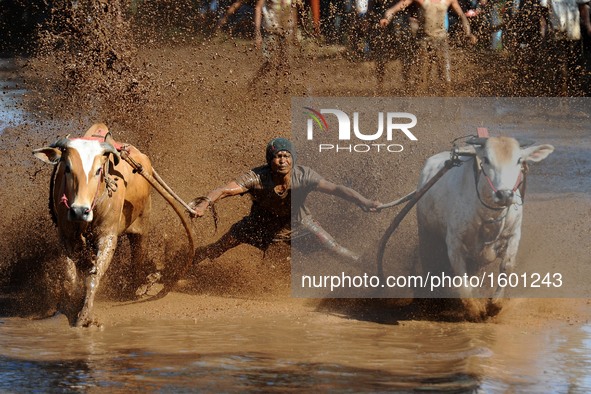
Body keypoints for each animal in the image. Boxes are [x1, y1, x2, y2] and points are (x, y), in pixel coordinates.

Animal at [32, 123, 153, 326]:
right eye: (67, 168)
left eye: (98, 170)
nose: (80, 211)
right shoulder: (66, 236)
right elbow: (71, 277)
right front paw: (67, 308)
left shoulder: (107, 237)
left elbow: (93, 276)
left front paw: (85, 317)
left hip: (142, 224)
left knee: (138, 255)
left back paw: (138, 286)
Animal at [416, 135, 556, 320]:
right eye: (486, 159)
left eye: (519, 160)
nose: (504, 194)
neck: (489, 214)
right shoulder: (454, 244)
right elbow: (462, 279)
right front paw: (474, 309)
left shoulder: (514, 234)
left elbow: (506, 267)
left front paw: (495, 303)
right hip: (425, 233)